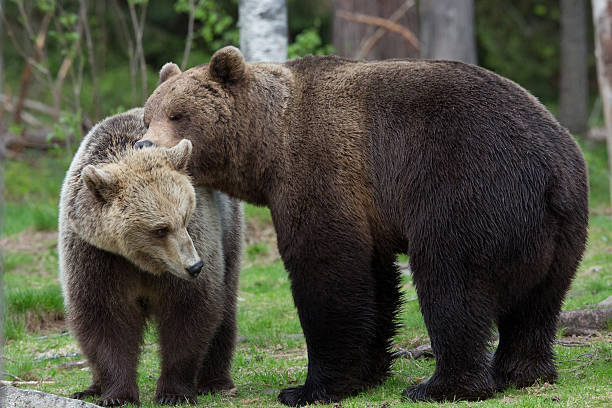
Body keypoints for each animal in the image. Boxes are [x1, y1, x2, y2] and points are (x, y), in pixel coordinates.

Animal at [57, 107, 243, 404]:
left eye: (185, 216)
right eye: (159, 229)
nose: (194, 266)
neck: (139, 260)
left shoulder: (196, 239)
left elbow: (188, 310)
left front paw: (173, 393)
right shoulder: (96, 256)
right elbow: (104, 317)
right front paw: (117, 394)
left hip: (227, 226)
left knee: (225, 304)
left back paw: (216, 381)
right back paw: (91, 388)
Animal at [137, 47, 588, 404]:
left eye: (179, 114)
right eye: (147, 116)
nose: (144, 144)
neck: (269, 147)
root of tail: (551, 170)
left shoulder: (321, 170)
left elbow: (328, 271)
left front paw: (308, 388)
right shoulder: (368, 211)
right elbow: (375, 282)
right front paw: (368, 372)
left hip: (468, 192)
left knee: (451, 283)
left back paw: (441, 385)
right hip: (563, 227)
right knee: (538, 304)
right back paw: (523, 372)